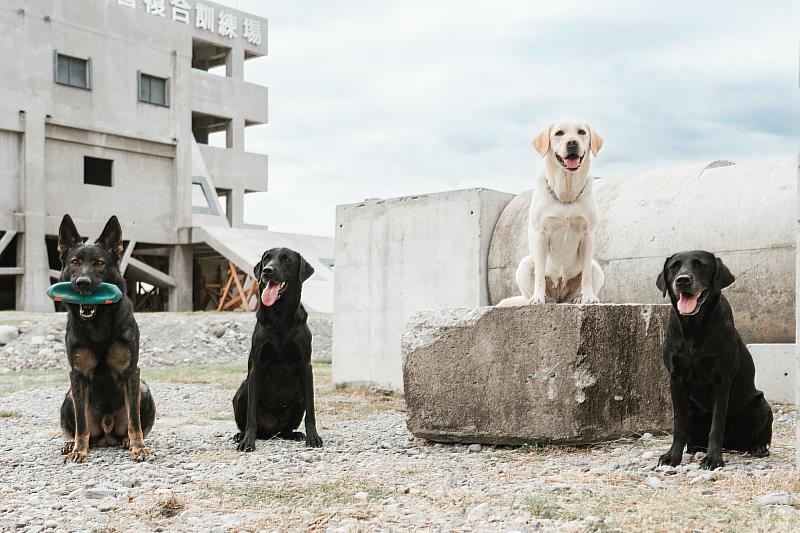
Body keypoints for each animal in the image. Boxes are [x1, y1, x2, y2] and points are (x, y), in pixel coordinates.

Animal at [56, 213, 156, 462]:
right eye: (75, 262)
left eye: (99, 263)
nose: (83, 283)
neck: (98, 323)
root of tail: (107, 432)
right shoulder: (77, 375)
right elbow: (81, 424)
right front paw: (79, 450)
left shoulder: (131, 372)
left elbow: (134, 420)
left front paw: (139, 447)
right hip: (69, 396)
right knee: (81, 427)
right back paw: (70, 444)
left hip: (143, 389)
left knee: (132, 422)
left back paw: (128, 440)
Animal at [231, 245, 322, 448]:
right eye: (266, 259)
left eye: (287, 259)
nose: (267, 271)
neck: (280, 317)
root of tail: (270, 432)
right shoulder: (256, 367)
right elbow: (251, 415)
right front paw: (248, 441)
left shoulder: (306, 366)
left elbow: (311, 411)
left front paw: (313, 436)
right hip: (242, 390)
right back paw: (241, 435)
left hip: (299, 396)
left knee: (287, 429)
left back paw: (295, 434)